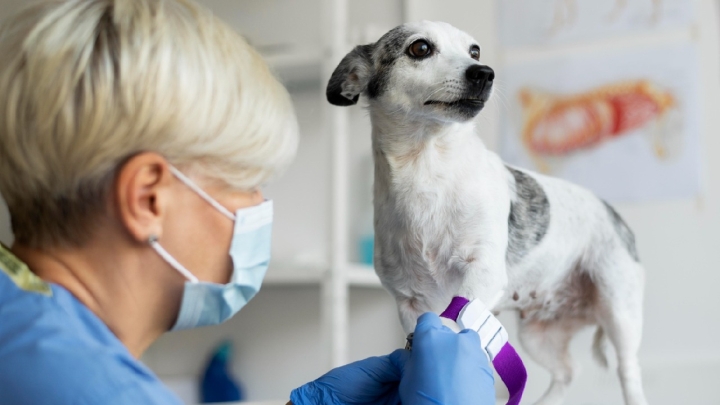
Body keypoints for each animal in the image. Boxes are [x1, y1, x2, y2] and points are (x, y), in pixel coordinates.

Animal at [326, 21, 648, 404]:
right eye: (420, 48)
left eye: (474, 51)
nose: (483, 72)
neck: (427, 170)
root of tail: (613, 214)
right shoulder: (409, 303)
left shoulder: (481, 274)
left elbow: (449, 325)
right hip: (538, 335)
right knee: (567, 372)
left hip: (619, 312)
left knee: (627, 372)